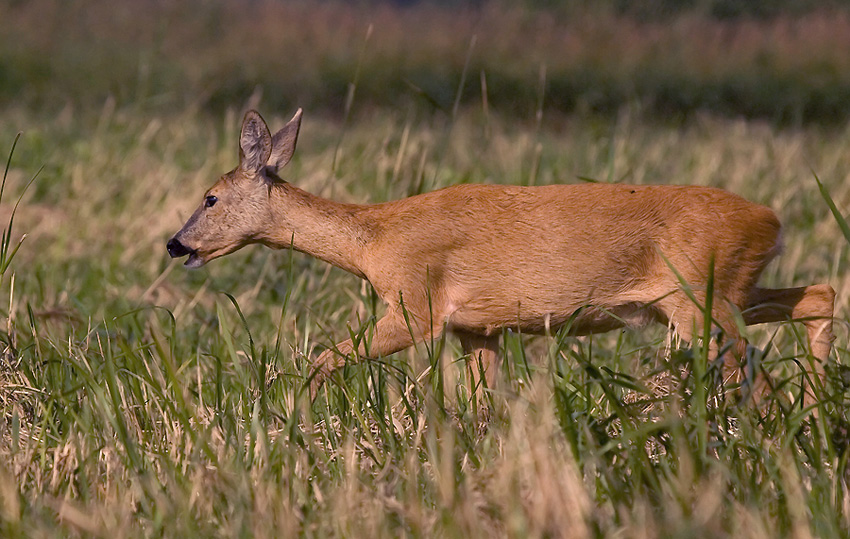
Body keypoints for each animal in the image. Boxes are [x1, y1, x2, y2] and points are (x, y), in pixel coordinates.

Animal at [167, 110, 836, 410]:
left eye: (210, 197)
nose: (176, 244)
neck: (375, 241)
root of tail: (773, 222)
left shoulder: (416, 305)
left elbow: (325, 356)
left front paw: (293, 411)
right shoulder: (477, 329)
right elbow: (487, 402)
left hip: (699, 294)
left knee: (752, 366)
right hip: (729, 289)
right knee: (817, 295)